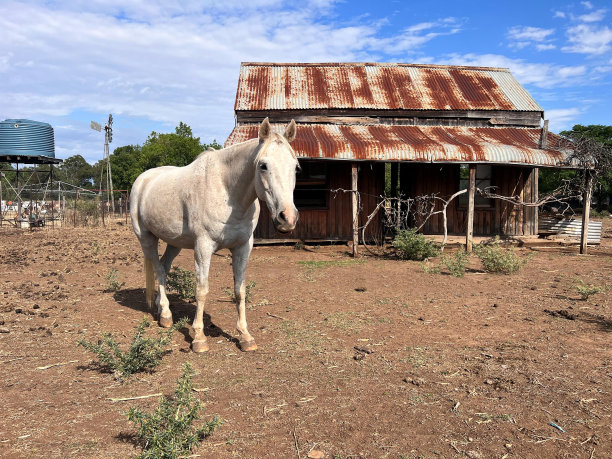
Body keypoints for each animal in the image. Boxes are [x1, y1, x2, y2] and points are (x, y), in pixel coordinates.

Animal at [131, 118, 298, 352]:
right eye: (263, 165)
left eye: (295, 166)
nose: (287, 218)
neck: (226, 191)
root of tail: (143, 180)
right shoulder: (203, 247)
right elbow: (202, 290)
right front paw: (199, 338)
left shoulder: (243, 247)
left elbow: (240, 291)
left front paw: (245, 336)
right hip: (146, 238)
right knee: (158, 269)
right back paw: (165, 315)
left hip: (175, 243)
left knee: (163, 267)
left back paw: (162, 309)